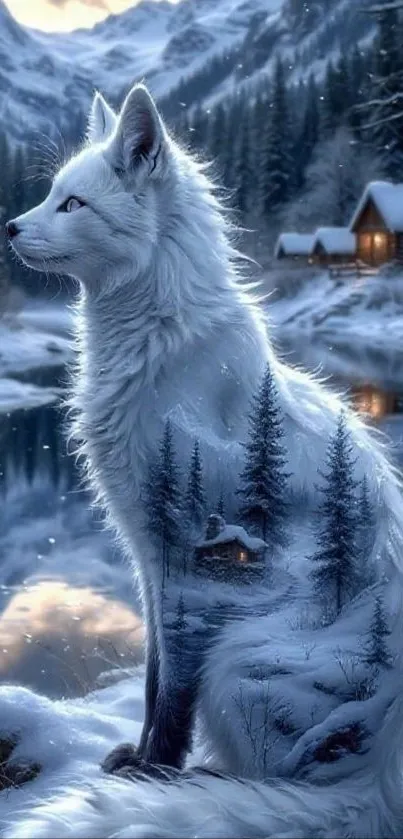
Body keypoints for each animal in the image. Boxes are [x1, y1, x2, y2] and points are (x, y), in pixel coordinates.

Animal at [6, 82, 403, 837]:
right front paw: (140, 761)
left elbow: (172, 695)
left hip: (237, 654)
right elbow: (152, 672)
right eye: (49, 195)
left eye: (73, 204)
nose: (9, 226)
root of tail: (378, 783)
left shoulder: (189, 560)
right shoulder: (143, 552)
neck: (152, 344)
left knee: (290, 779)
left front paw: (153, 771)